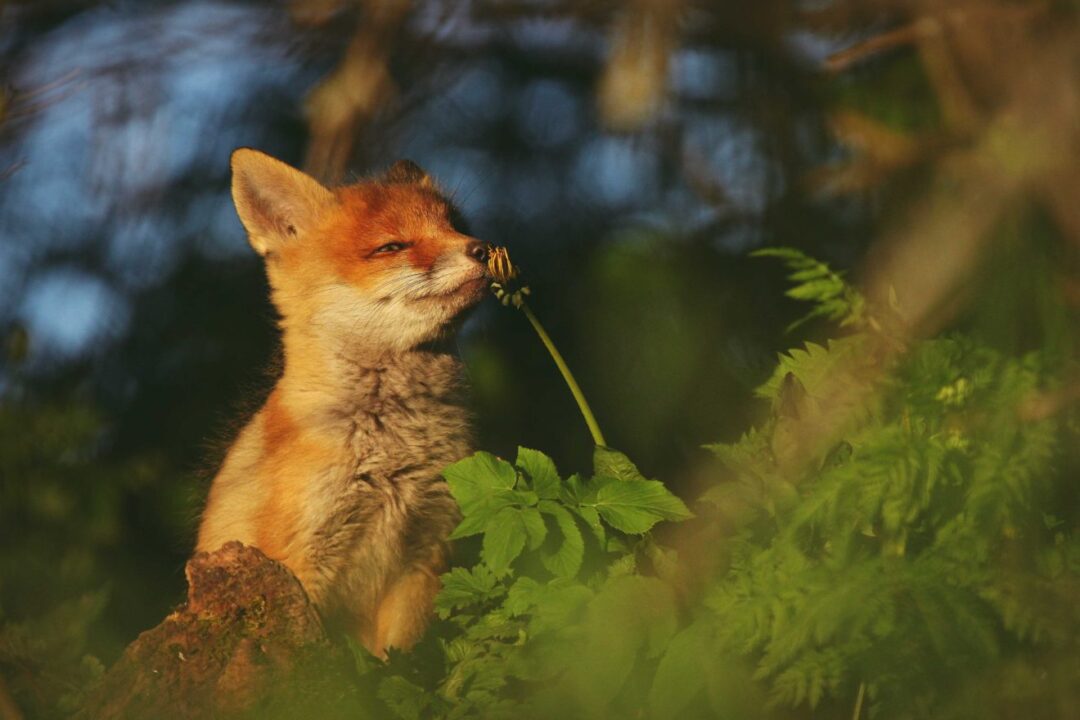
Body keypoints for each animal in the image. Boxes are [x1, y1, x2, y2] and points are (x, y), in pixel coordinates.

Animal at [196, 151, 488, 660]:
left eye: (455, 225)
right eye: (392, 246)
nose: (483, 250)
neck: (394, 452)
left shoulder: (425, 555)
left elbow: (401, 659)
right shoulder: (299, 564)